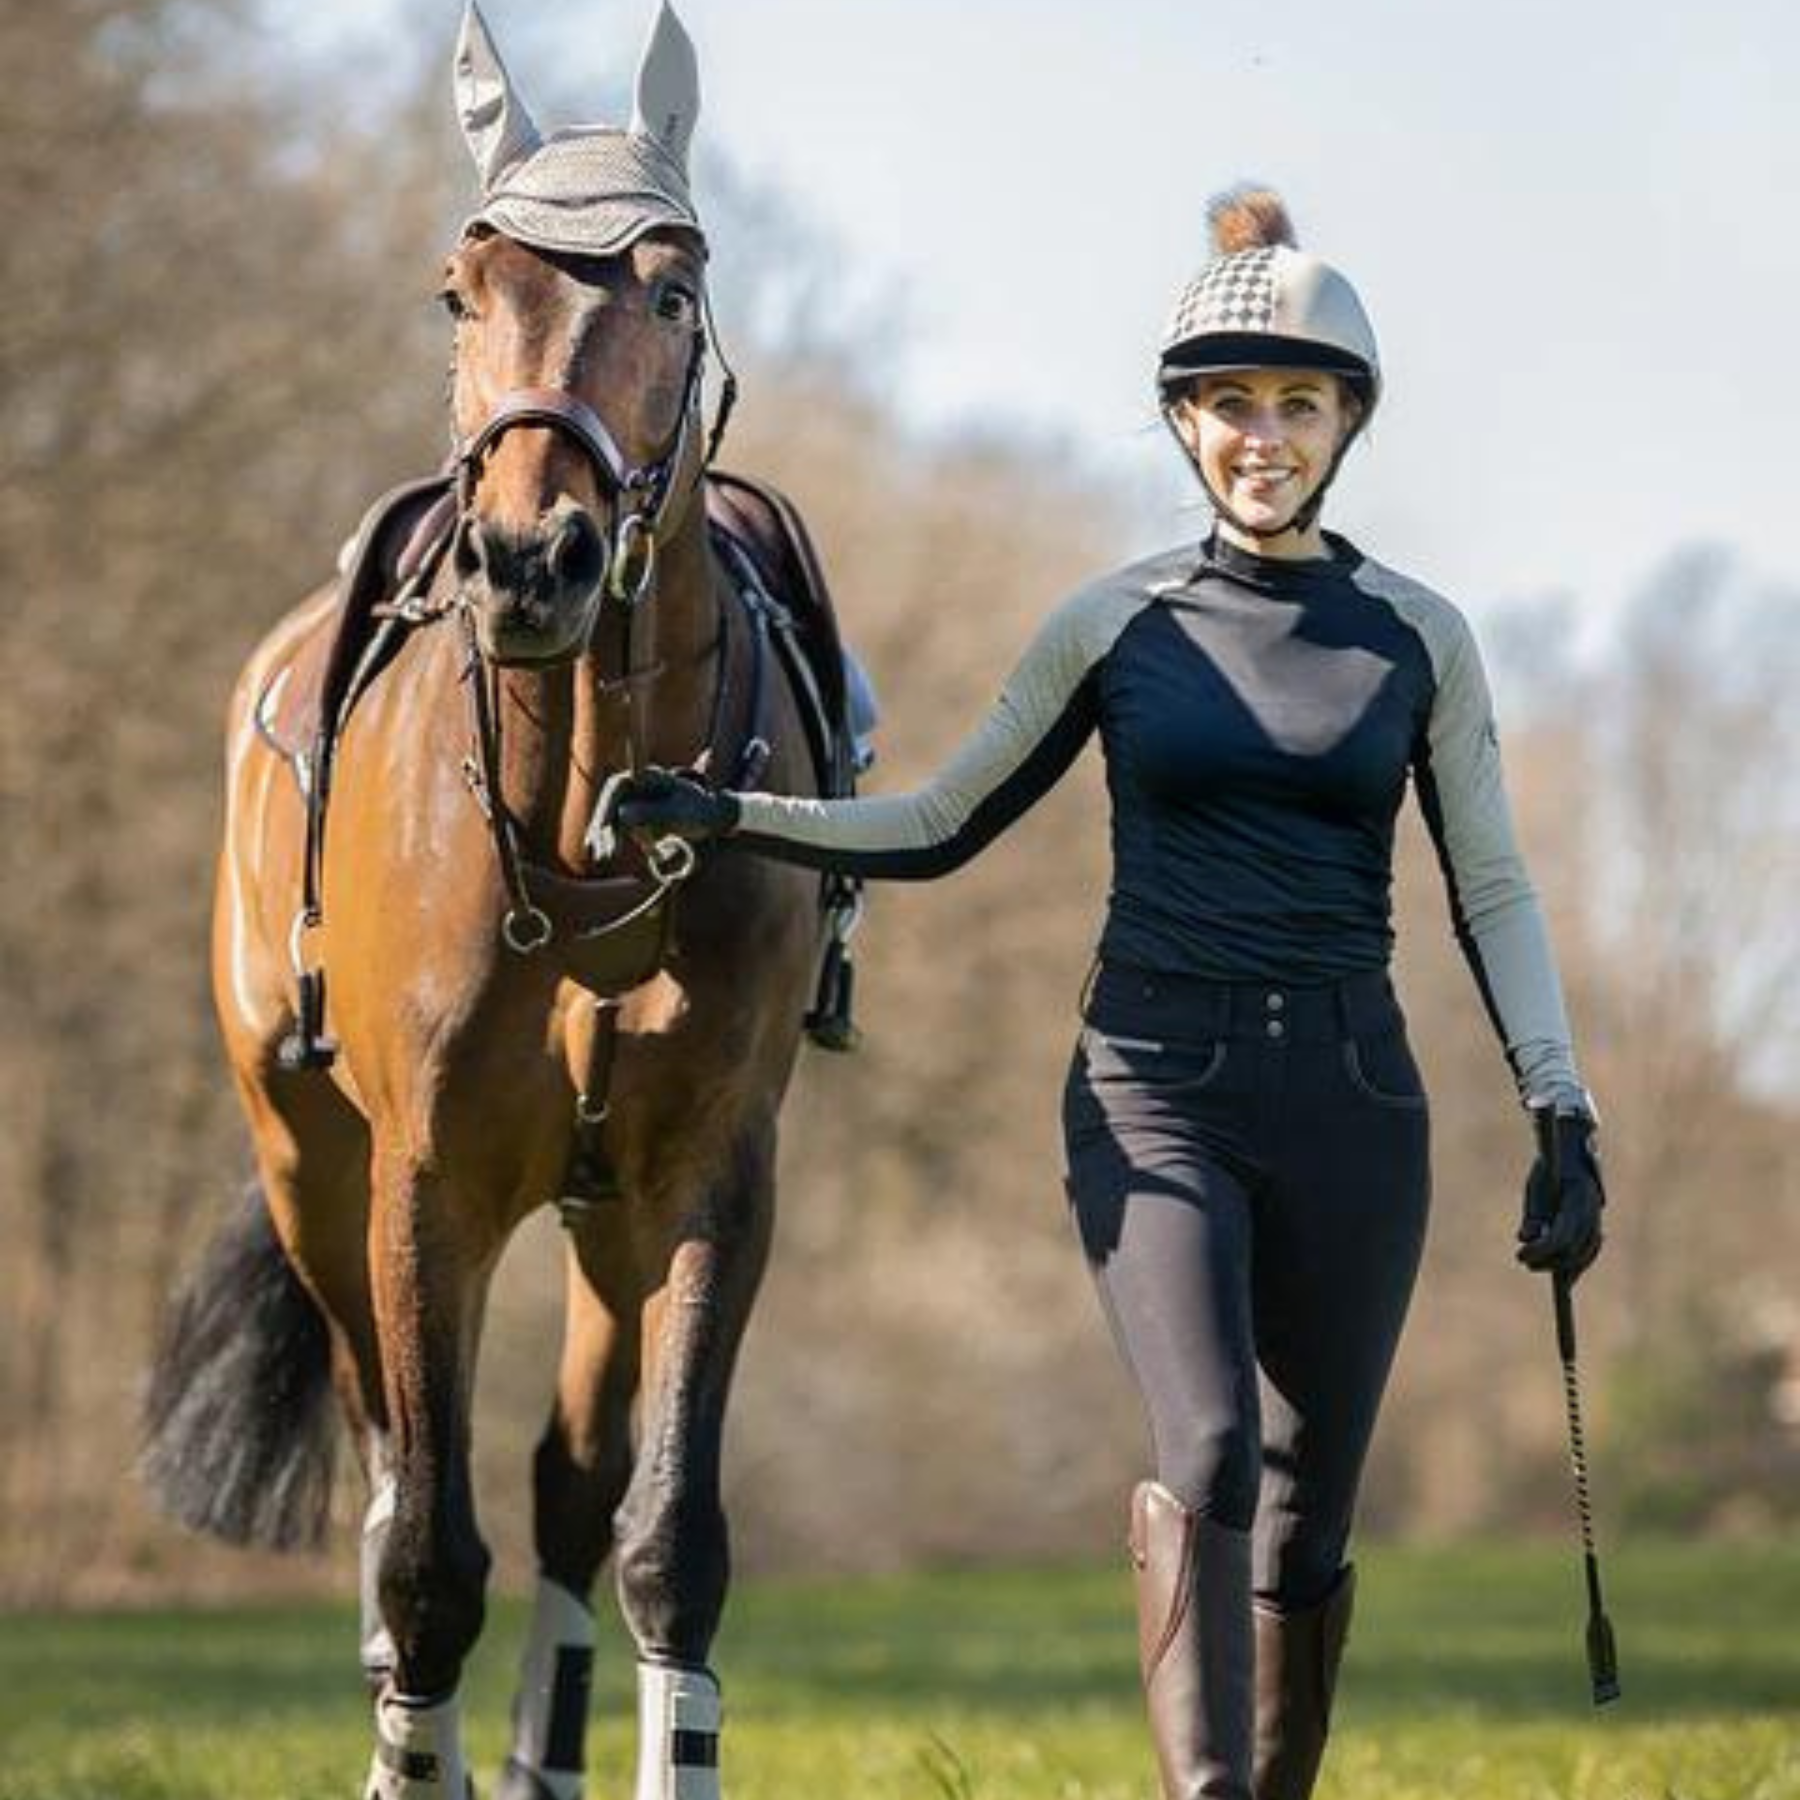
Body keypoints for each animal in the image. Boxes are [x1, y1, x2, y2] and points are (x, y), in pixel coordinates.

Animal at [144, 7, 824, 1792]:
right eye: (463, 290)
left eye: (671, 288)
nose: (534, 559)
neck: (586, 832)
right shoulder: (423, 1183)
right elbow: (425, 1557)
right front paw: (410, 1738)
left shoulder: (706, 1178)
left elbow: (667, 1539)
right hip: (310, 1174)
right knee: (397, 1482)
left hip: (601, 1219)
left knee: (572, 1491)